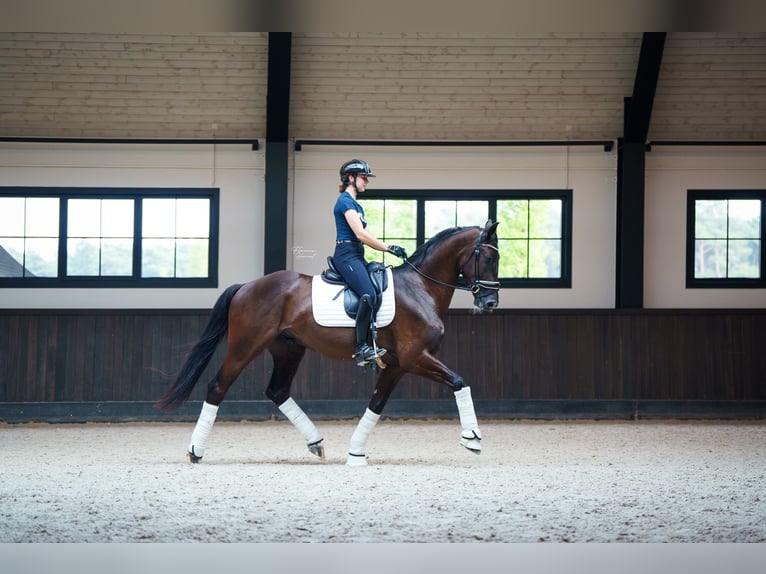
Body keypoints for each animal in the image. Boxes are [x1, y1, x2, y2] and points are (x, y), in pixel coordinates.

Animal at [156, 220, 504, 468]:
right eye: (488, 256)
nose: (489, 302)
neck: (420, 288)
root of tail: (246, 286)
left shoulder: (395, 364)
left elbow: (376, 404)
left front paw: (356, 454)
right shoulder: (415, 357)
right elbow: (460, 382)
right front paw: (472, 438)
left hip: (289, 348)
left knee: (277, 390)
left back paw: (316, 442)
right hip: (245, 346)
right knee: (218, 386)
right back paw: (195, 451)